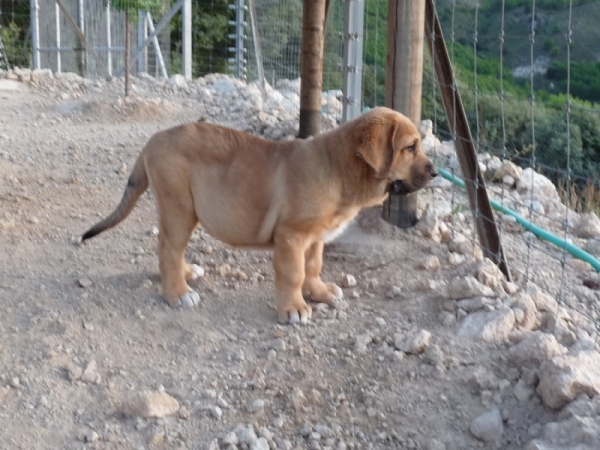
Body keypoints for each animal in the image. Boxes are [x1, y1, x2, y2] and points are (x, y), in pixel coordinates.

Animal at [82, 106, 438, 324]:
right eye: (410, 147)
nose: (435, 173)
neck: (340, 170)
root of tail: (152, 141)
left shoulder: (315, 238)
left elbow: (313, 267)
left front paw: (319, 292)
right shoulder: (291, 236)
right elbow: (293, 274)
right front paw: (293, 309)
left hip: (183, 211)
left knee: (171, 248)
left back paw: (186, 273)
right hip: (178, 206)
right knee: (168, 248)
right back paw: (178, 294)